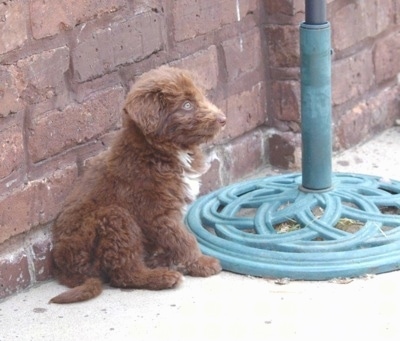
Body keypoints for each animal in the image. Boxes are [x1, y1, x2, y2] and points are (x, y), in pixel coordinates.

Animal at [49, 66, 225, 302]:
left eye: (201, 96)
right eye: (187, 105)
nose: (223, 119)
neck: (159, 152)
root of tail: (66, 270)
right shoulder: (156, 212)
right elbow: (183, 238)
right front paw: (201, 263)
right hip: (116, 219)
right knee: (124, 273)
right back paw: (162, 277)